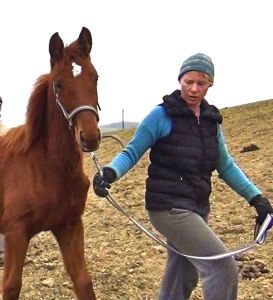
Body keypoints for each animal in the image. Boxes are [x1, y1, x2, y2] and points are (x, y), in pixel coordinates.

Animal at [0, 27, 100, 298]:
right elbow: (11, 287)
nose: (90, 138)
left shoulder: (69, 226)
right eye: (59, 84)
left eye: (96, 77)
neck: (47, 168)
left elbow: (83, 282)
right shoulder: (16, 234)